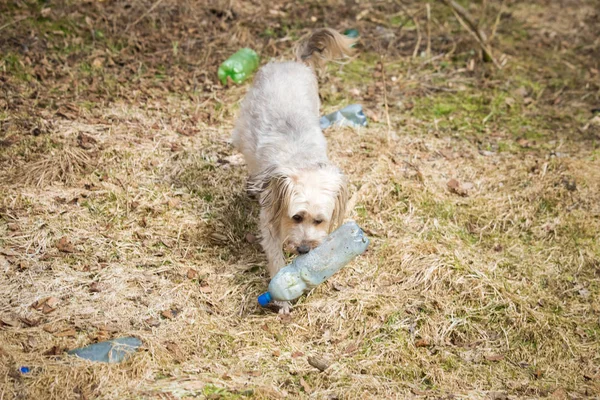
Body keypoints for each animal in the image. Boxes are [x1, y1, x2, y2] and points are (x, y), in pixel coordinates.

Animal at [231, 29, 354, 314]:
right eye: (296, 217)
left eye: (319, 220)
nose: (304, 249)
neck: (303, 162)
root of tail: (291, 62)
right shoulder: (270, 219)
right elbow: (275, 256)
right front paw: (282, 299)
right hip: (244, 130)